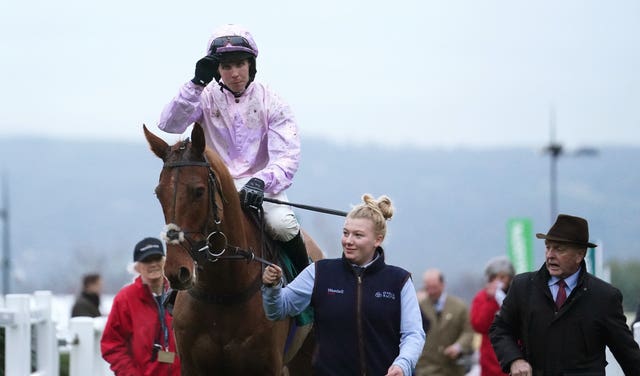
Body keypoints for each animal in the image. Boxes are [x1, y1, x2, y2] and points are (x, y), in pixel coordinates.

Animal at [141, 124, 320, 376]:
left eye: (199, 191)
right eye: (159, 193)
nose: (177, 271)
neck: (224, 292)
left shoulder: (268, 366)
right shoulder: (192, 366)